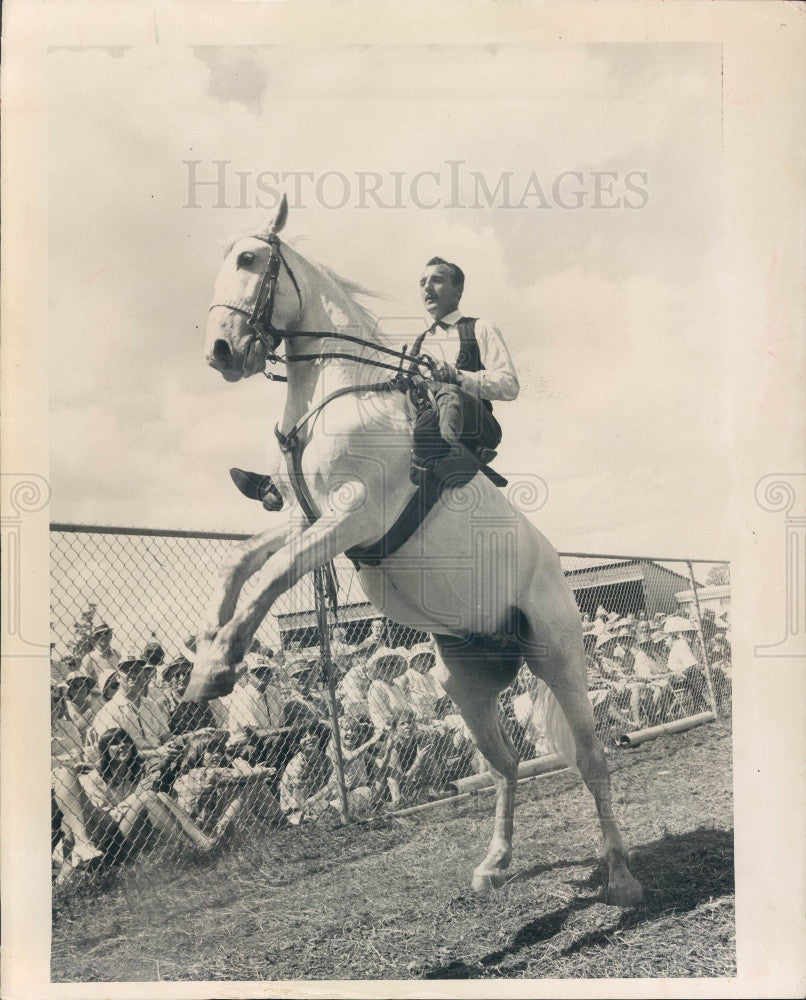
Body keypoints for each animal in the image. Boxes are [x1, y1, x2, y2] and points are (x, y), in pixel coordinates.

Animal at [186, 197, 648, 908]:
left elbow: (271, 576)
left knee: (592, 759)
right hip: (467, 686)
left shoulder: (352, 515)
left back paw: (622, 875)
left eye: (249, 258)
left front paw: (217, 666)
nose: (221, 351)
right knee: (505, 765)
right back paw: (495, 864)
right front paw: (206, 654)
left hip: (558, 654)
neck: (336, 398)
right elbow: (238, 563)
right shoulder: (303, 516)